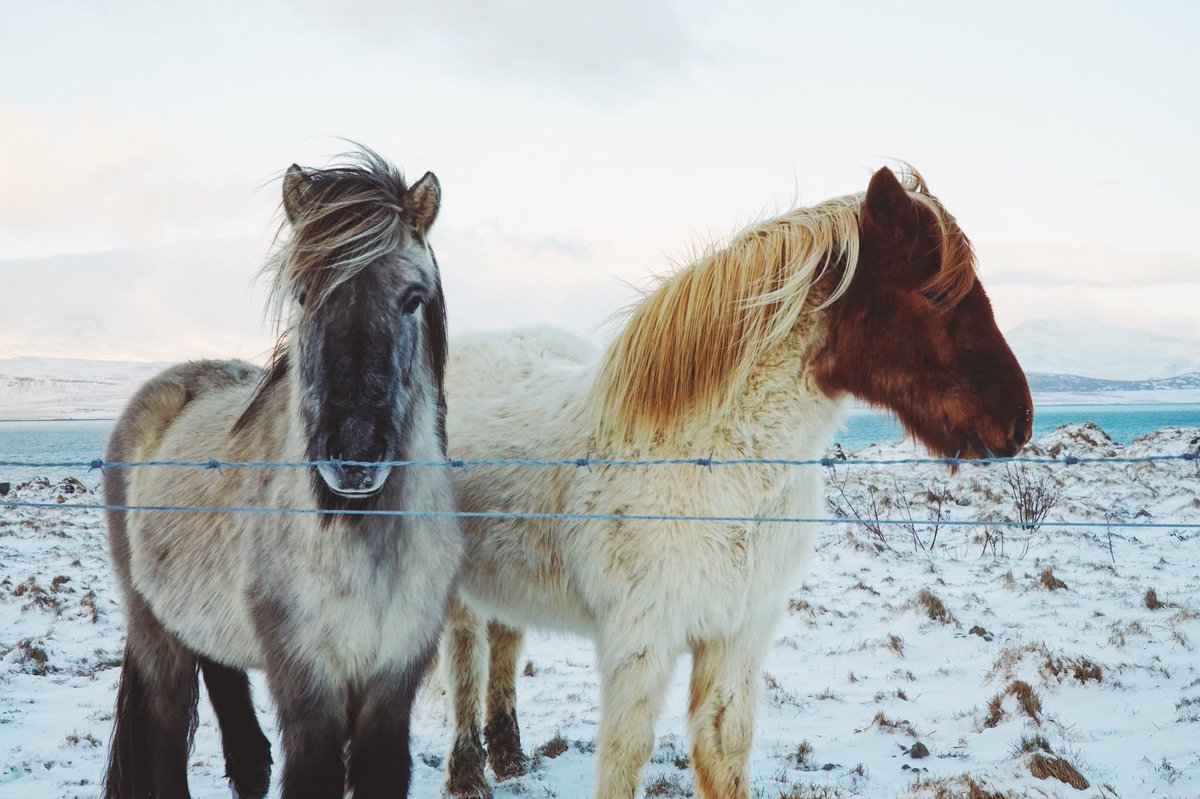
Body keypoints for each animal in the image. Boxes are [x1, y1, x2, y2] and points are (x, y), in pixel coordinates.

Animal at [102, 150, 463, 799]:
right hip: (156, 633)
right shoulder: (308, 685)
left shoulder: (391, 686)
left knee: (237, 725)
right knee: (166, 733)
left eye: (412, 299)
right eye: (301, 294)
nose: (352, 456)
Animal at [440, 165, 1032, 799]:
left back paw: (509, 757)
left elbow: (724, 748)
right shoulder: (639, 644)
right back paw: (467, 772)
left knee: (504, 640)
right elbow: (624, 760)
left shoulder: (739, 636)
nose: (1020, 421)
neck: (715, 469)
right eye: (936, 294)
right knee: (466, 654)